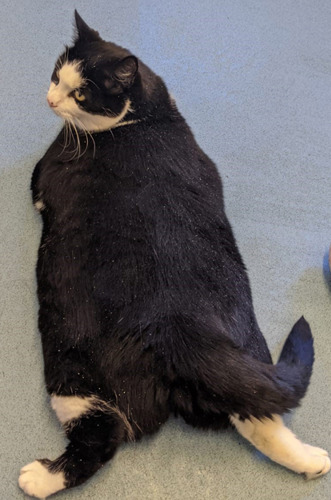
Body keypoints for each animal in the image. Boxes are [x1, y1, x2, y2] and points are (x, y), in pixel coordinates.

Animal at [18, 10, 331, 500]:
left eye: (80, 93)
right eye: (56, 74)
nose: (49, 99)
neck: (146, 118)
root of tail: (183, 328)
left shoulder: (46, 171)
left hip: (74, 368)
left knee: (102, 435)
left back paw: (39, 477)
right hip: (248, 350)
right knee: (259, 415)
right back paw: (312, 461)